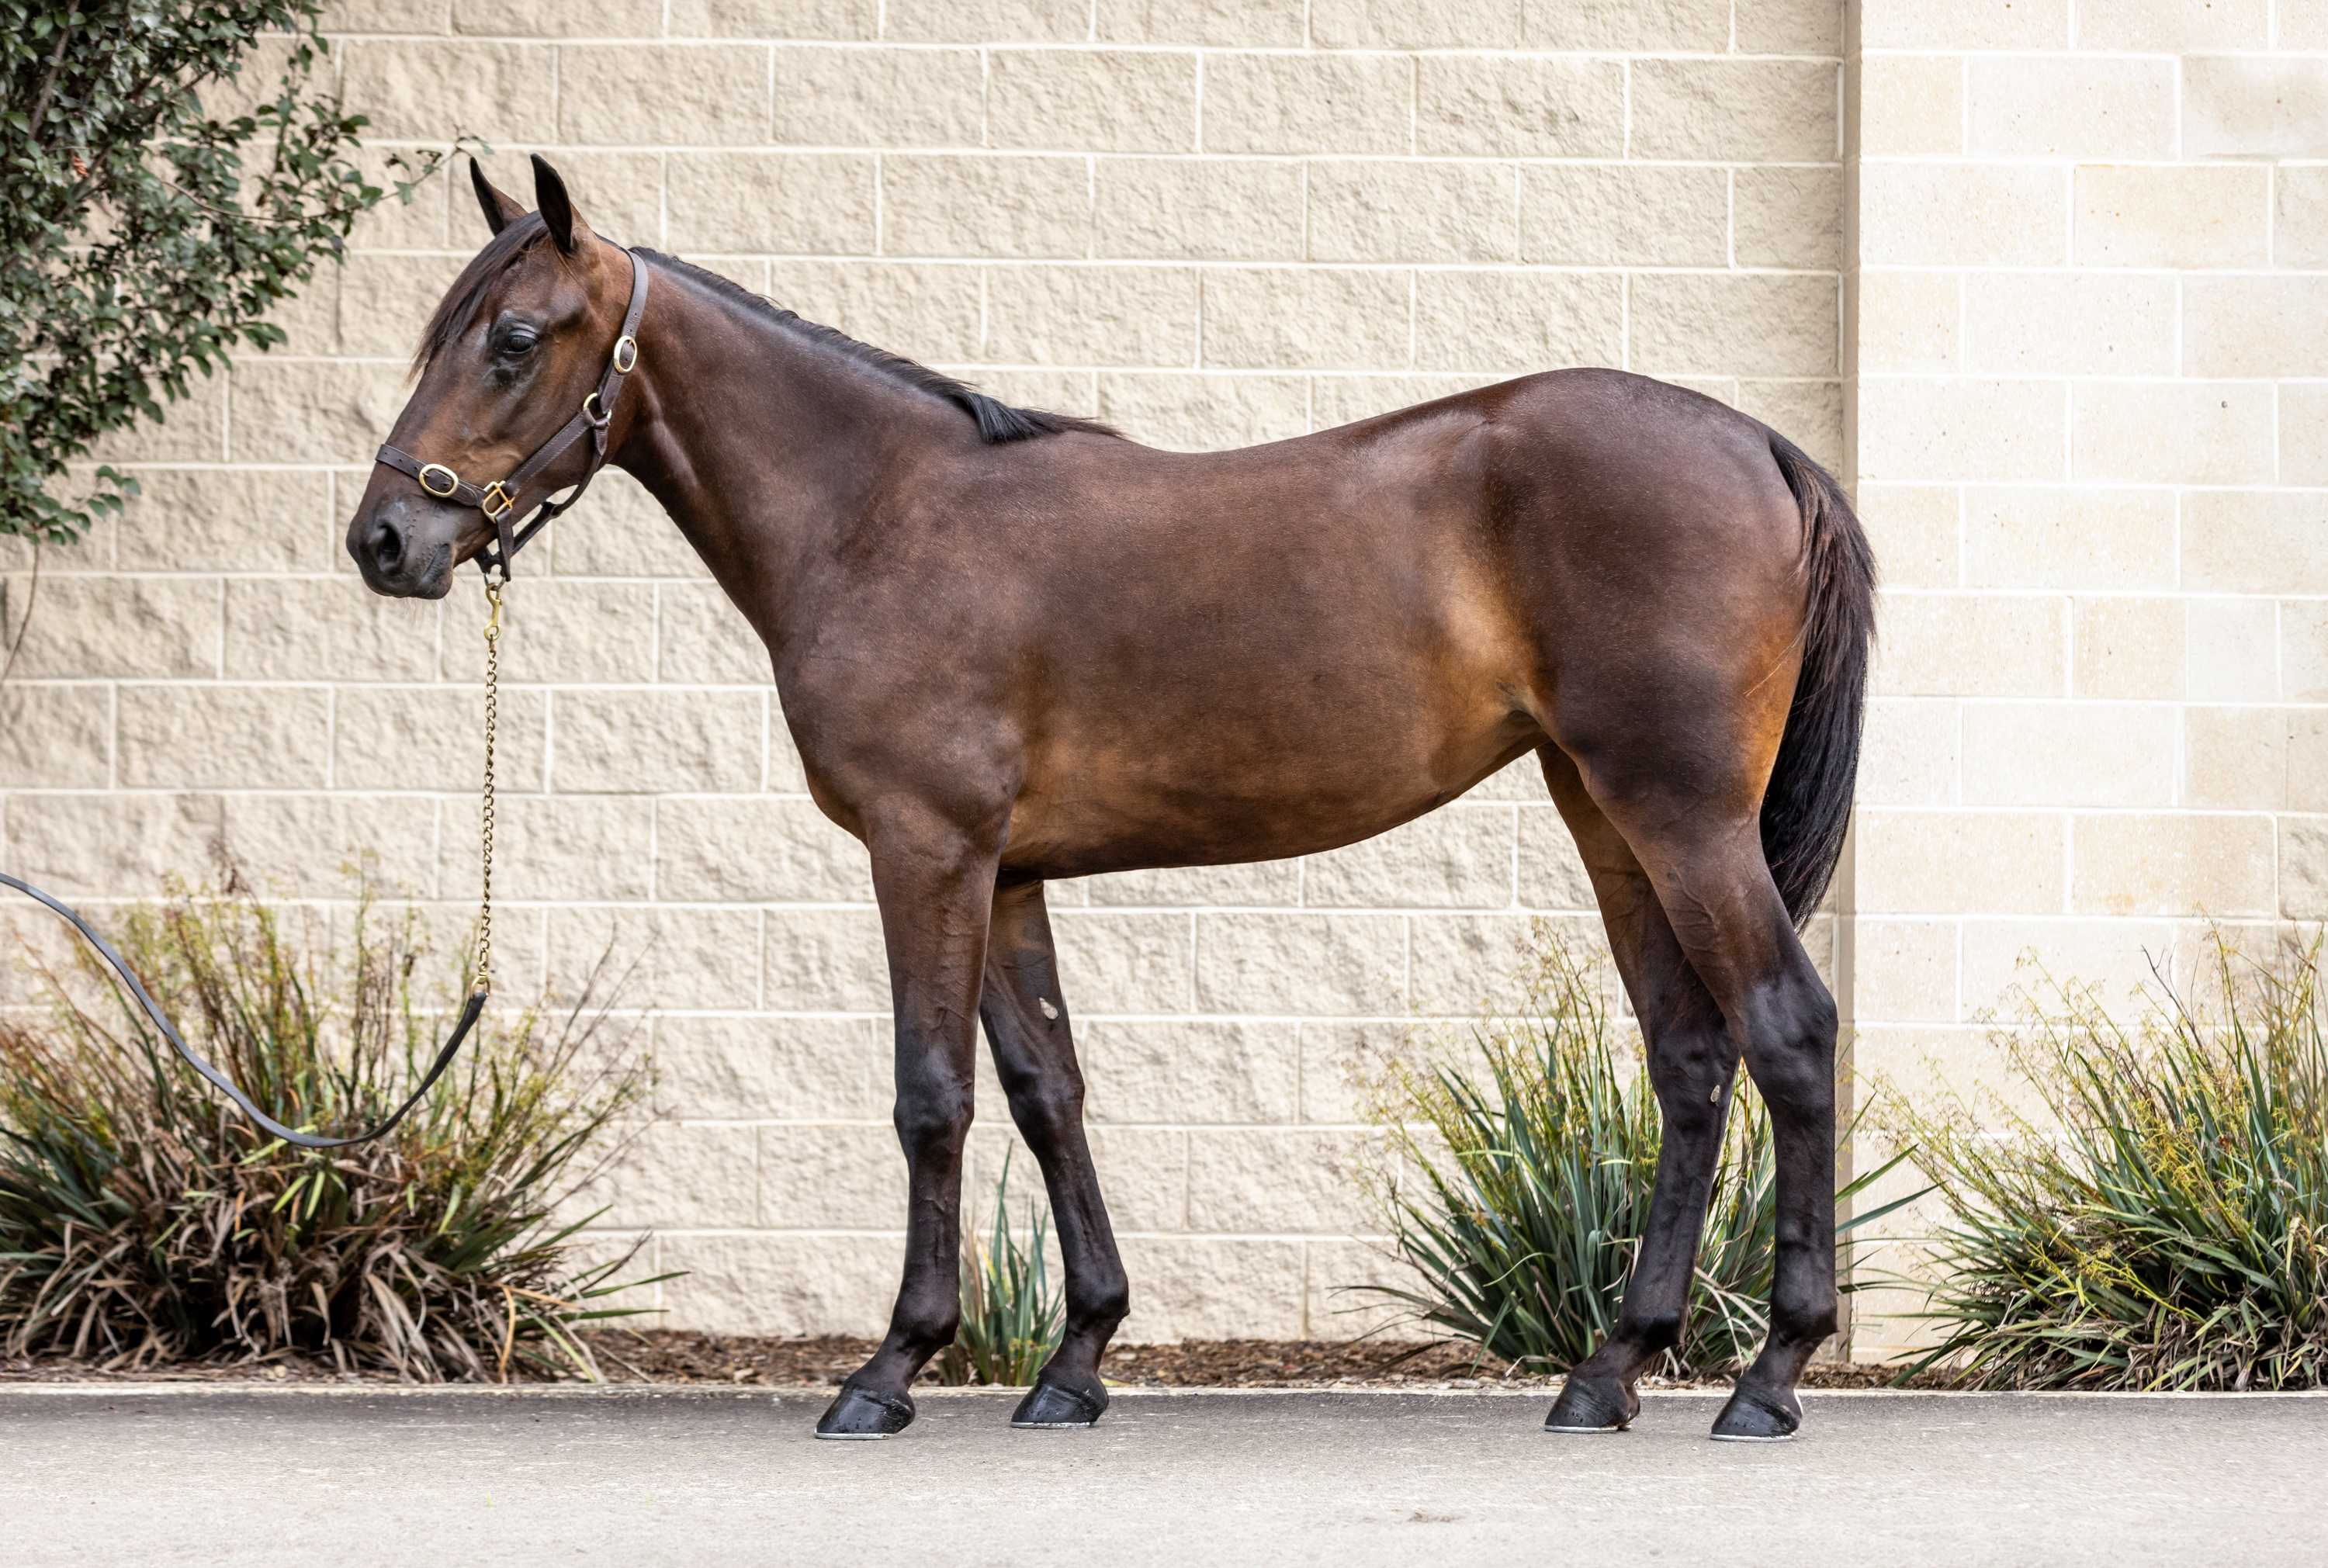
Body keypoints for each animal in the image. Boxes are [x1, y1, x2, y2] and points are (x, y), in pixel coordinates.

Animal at [347, 156, 1876, 1443]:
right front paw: (1074, 1364)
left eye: (513, 337)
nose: (386, 540)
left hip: (1682, 818)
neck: (878, 513)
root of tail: (1762, 447)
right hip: (1608, 819)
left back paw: (1769, 1376)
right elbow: (1047, 1089)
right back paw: (1609, 1371)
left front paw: (890, 1369)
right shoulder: (1007, 870)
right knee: (1690, 1058)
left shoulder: (926, 851)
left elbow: (932, 1096)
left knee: (1788, 1031)